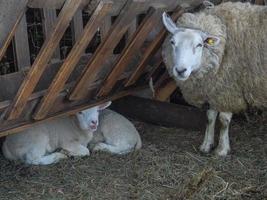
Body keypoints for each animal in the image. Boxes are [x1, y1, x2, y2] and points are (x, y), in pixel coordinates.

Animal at [161, 1, 267, 156]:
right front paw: (206, 145)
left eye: (199, 44)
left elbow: (223, 120)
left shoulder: (228, 89)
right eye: (173, 42)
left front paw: (222, 149)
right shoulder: (212, 88)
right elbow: (210, 117)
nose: (180, 70)